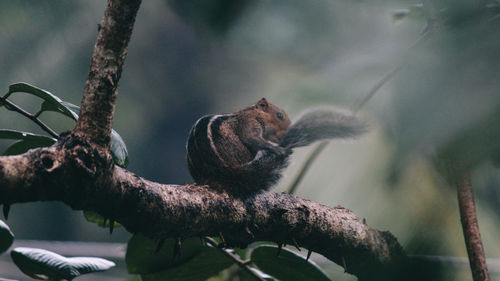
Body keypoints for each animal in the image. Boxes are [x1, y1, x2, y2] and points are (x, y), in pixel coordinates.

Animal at [186, 97, 366, 194]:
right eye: (279, 115)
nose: (289, 132)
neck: (251, 112)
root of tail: (224, 169)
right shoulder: (248, 124)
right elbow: (252, 139)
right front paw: (278, 148)